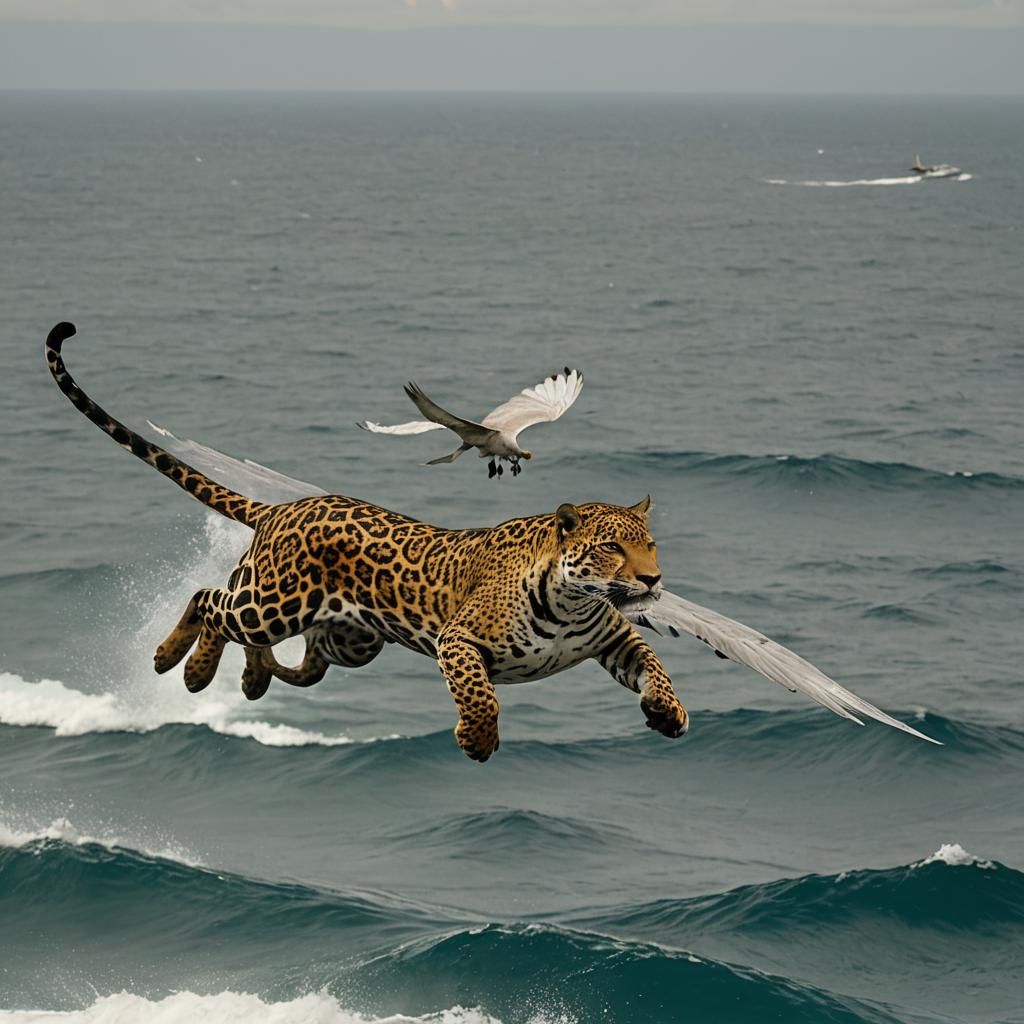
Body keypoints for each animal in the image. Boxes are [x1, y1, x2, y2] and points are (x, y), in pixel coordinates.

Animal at [45, 322, 688, 761]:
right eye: (611, 548)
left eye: (652, 546)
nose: (653, 580)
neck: (574, 601)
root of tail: (284, 506)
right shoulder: (458, 642)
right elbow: (481, 695)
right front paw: (478, 740)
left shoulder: (618, 638)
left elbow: (655, 665)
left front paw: (670, 713)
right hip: (270, 604)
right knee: (209, 600)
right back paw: (182, 665)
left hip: (348, 638)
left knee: (286, 651)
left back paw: (249, 678)